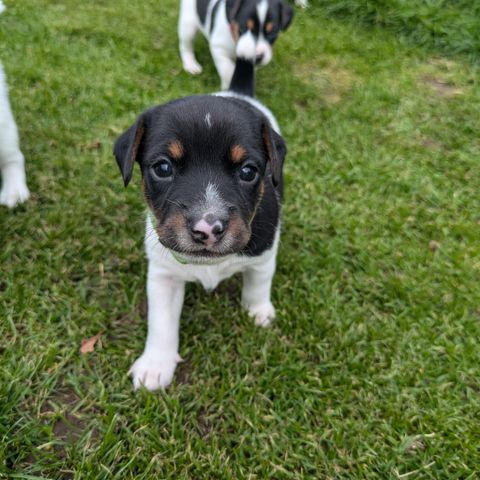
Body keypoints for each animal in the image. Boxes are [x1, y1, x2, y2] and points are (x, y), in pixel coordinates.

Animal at [113, 58, 284, 392]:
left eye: (248, 171)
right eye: (162, 167)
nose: (207, 229)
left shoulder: (264, 254)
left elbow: (258, 283)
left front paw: (258, 312)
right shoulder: (163, 275)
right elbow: (161, 321)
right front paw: (155, 366)